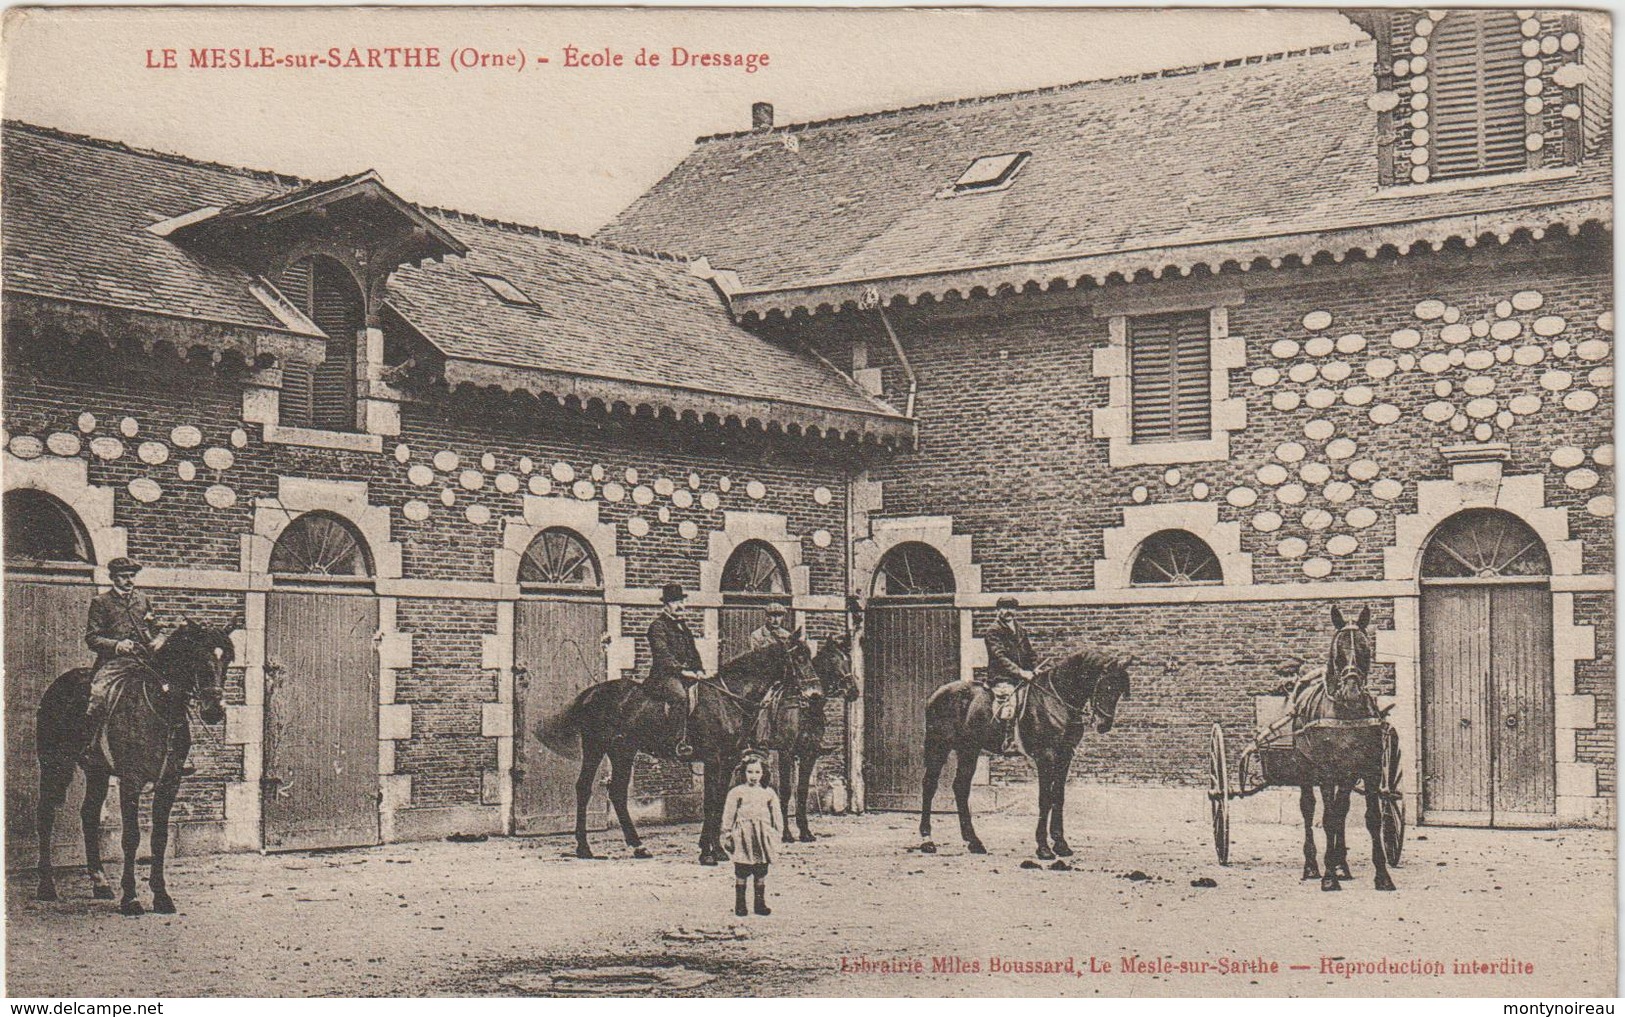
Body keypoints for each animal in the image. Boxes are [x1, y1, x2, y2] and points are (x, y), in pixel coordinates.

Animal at [31, 617, 234, 909]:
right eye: (198, 656)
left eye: (228, 658)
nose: (214, 710)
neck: (161, 708)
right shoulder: (131, 781)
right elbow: (131, 838)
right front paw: (131, 898)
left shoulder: (169, 782)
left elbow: (159, 838)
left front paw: (161, 896)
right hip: (54, 766)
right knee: (45, 815)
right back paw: (46, 886)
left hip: (97, 771)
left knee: (89, 815)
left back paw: (100, 883)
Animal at [542, 633, 819, 864]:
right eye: (798, 657)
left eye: (809, 654)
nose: (815, 694)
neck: (728, 700)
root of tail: (593, 691)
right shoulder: (713, 759)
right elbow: (709, 803)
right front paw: (707, 853)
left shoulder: (729, 760)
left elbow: (720, 802)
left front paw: (717, 850)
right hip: (595, 746)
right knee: (584, 788)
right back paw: (584, 847)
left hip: (623, 751)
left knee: (617, 793)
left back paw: (637, 846)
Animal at [754, 633, 864, 838]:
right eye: (833, 659)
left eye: (849, 660)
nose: (853, 691)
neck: (806, 707)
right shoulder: (786, 753)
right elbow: (787, 790)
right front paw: (786, 834)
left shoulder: (809, 754)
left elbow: (802, 791)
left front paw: (804, 831)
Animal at [916, 649, 1131, 857]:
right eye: (1106, 685)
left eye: (1120, 689)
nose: (1104, 724)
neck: (1057, 700)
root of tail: (937, 694)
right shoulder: (1046, 756)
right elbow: (1045, 799)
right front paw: (1043, 847)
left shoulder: (1065, 756)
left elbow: (1058, 797)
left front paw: (1061, 844)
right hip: (939, 746)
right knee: (929, 786)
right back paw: (927, 840)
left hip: (969, 749)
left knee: (961, 787)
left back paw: (974, 842)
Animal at [1293, 601, 1397, 883]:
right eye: (1338, 650)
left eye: (1365, 648)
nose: (1351, 691)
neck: (1346, 712)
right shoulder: (1326, 770)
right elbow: (1327, 817)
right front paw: (1329, 877)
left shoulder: (1370, 768)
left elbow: (1371, 818)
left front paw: (1382, 875)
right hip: (1305, 767)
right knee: (1309, 808)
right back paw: (1313, 865)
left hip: (1347, 774)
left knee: (1342, 809)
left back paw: (1342, 864)